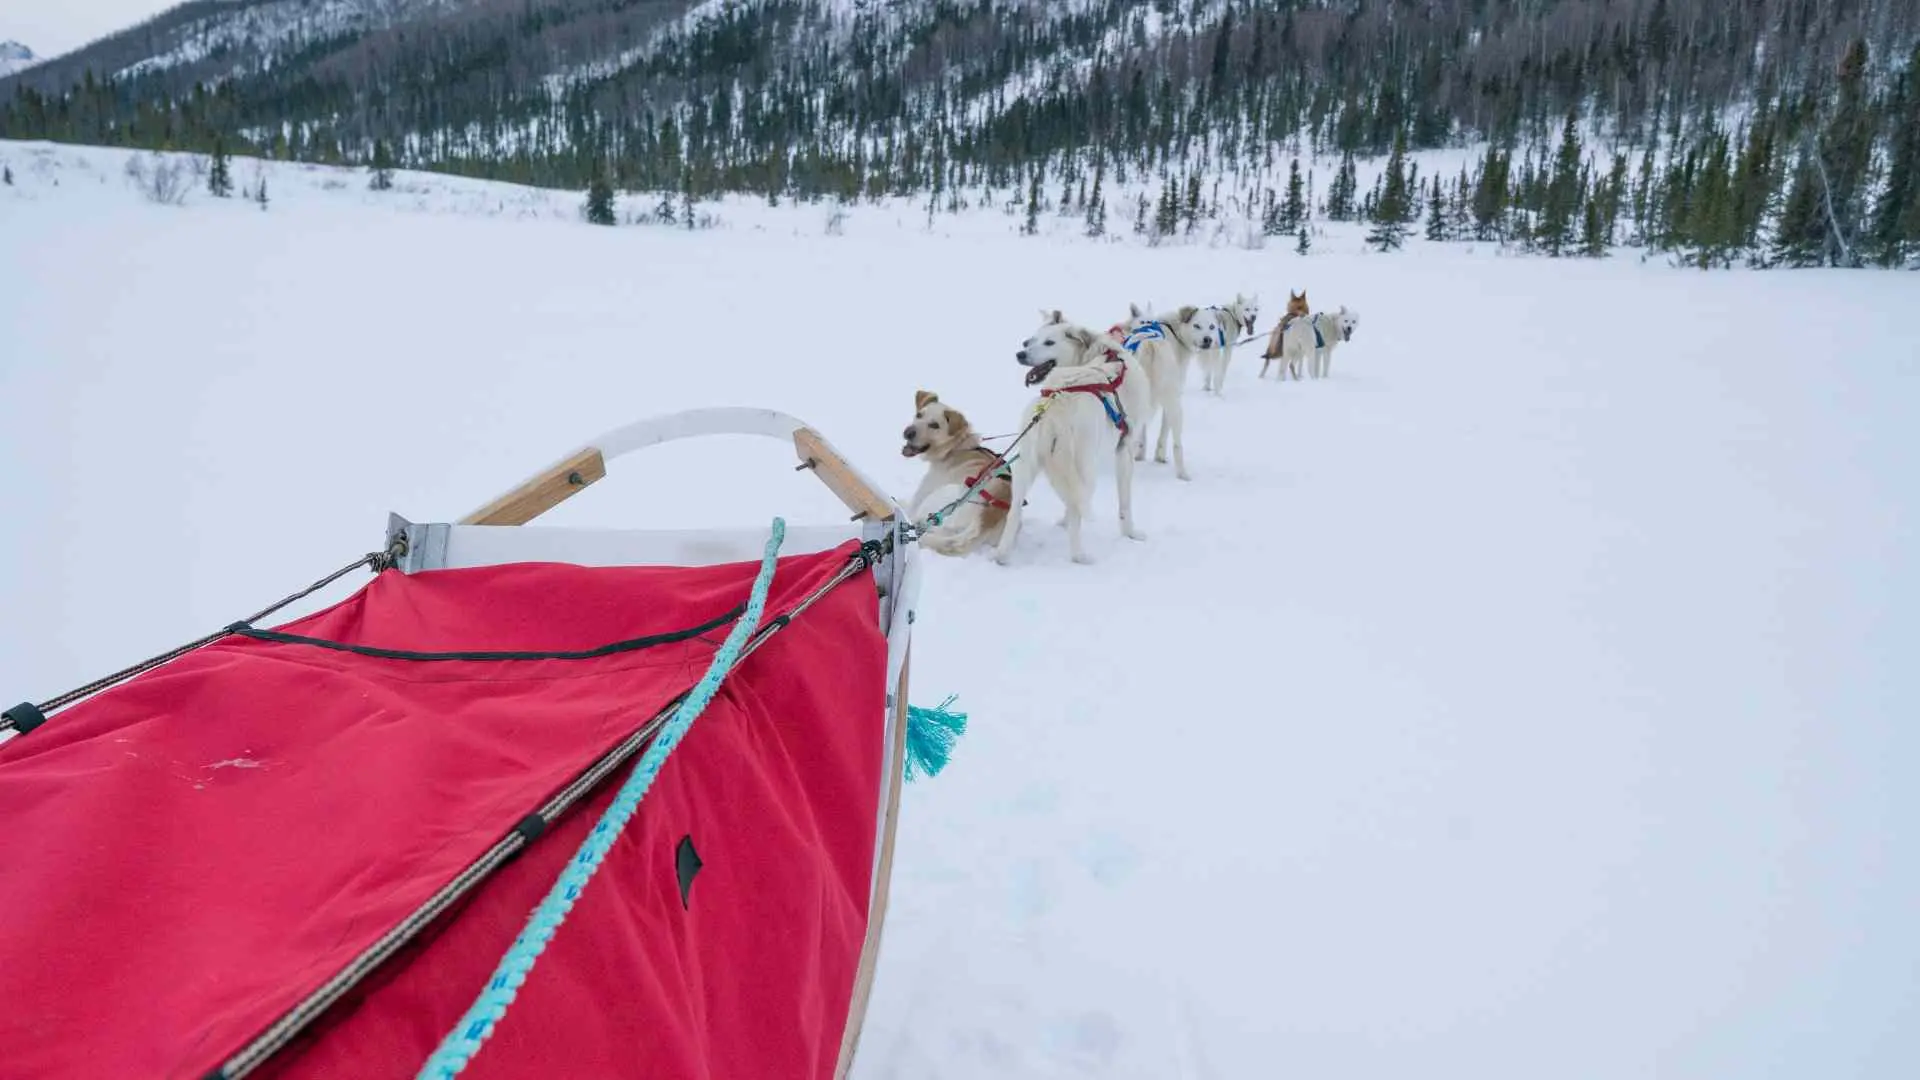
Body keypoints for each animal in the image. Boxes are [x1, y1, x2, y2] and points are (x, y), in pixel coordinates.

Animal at [902, 386, 1021, 553]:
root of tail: (985, 519)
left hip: (945, 495)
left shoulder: (927, 486)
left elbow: (911, 504)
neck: (956, 447)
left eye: (935, 425)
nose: (908, 432)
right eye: (919, 415)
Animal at [1121, 297, 1221, 474]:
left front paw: (1140, 455)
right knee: (1177, 444)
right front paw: (1159, 457)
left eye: (1211, 327)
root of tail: (1150, 343)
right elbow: (1163, 432)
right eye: (1196, 325)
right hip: (1174, 403)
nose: (1208, 340)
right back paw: (1183, 474)